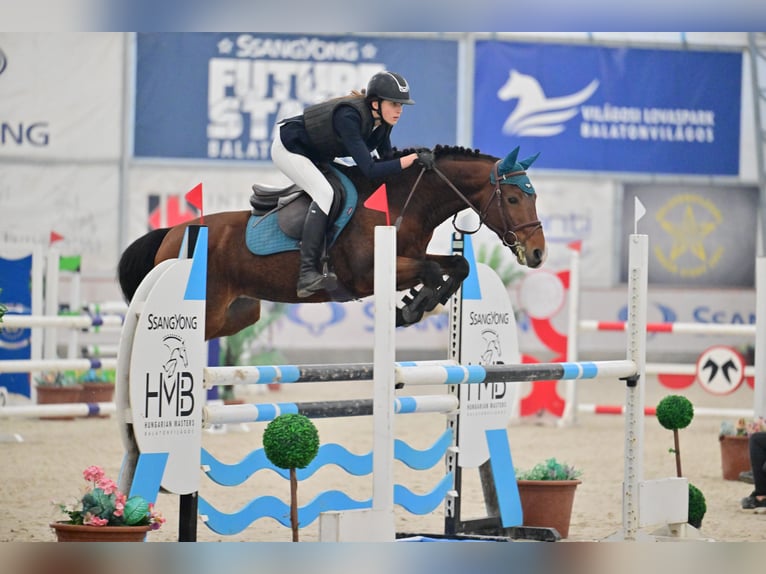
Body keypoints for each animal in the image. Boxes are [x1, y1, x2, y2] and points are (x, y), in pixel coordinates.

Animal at [118, 145, 544, 342]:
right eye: (512, 199)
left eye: (533, 195)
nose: (538, 253)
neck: (404, 200)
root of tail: (173, 231)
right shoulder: (368, 274)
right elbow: (432, 269)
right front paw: (410, 308)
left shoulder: (409, 256)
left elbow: (457, 265)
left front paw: (414, 305)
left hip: (235, 314)